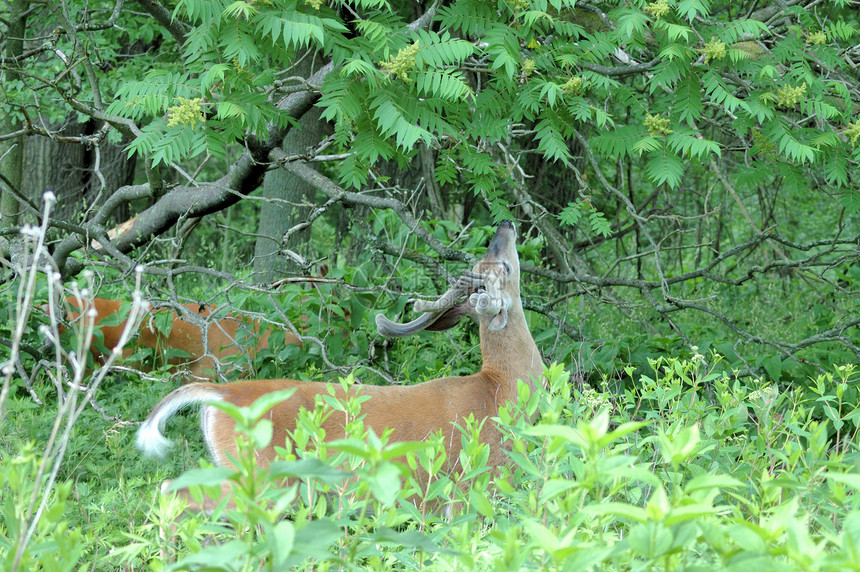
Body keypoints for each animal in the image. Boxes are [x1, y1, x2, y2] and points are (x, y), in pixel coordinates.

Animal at [137, 221, 540, 512]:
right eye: (505, 266)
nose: (505, 224)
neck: (500, 390)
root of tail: (222, 393)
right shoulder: (475, 484)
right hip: (261, 473)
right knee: (177, 493)